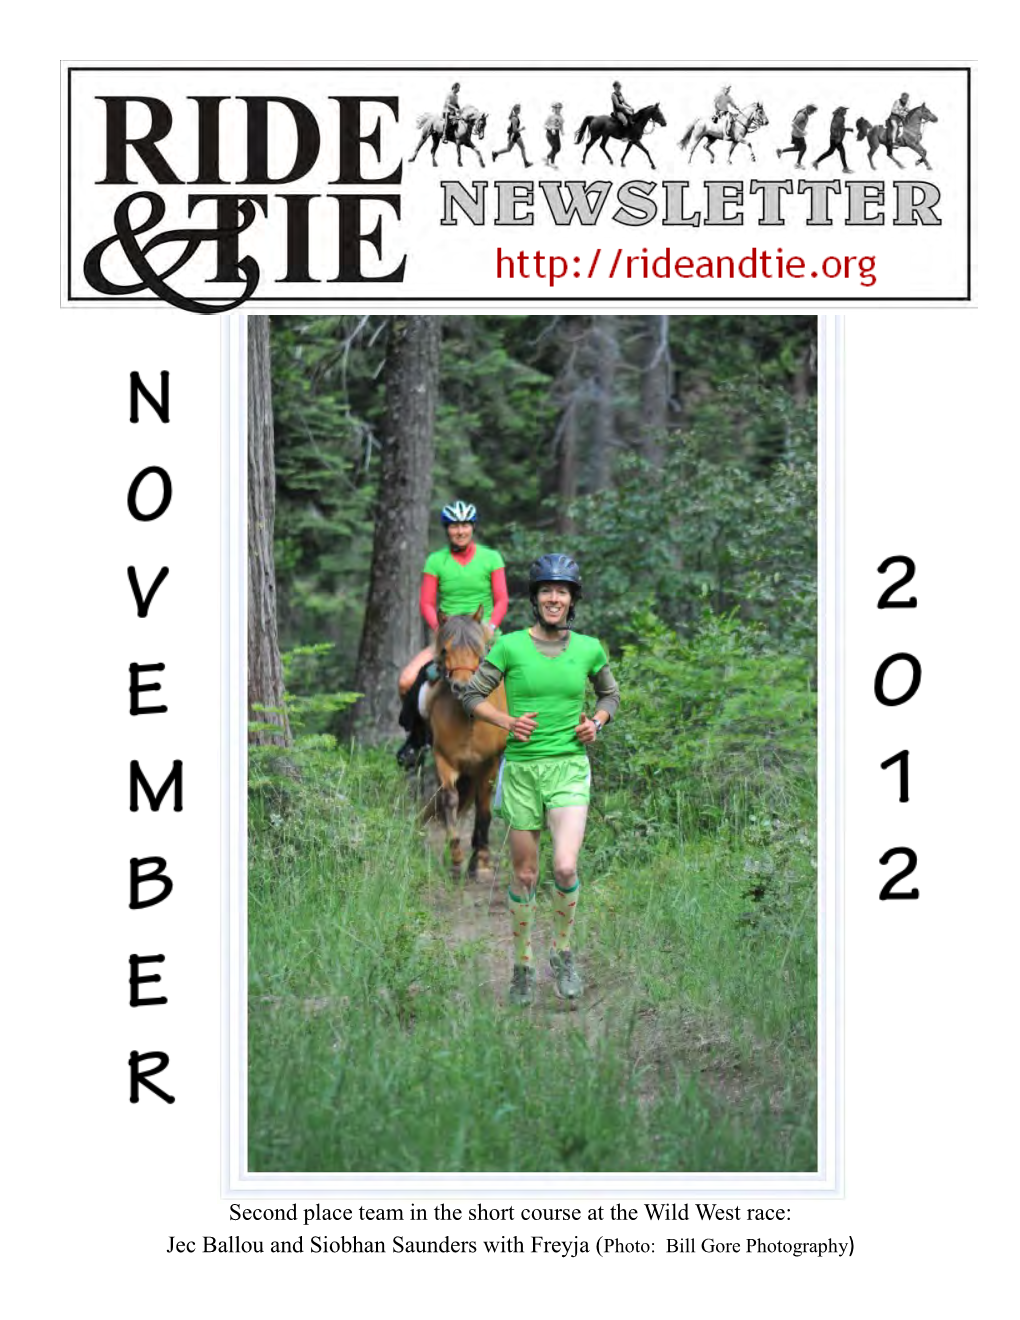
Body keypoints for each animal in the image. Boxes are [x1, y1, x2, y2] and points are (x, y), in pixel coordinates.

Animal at [424, 607, 506, 876]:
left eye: (478, 649)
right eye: (444, 650)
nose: (462, 687)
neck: (468, 717)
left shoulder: (488, 764)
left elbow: (484, 810)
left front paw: (480, 861)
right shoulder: (444, 758)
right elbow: (450, 799)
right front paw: (456, 857)